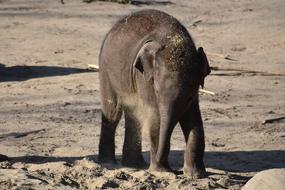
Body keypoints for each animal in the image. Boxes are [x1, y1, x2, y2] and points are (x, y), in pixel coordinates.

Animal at [98, 8, 210, 178]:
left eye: (190, 96)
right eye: (156, 91)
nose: (175, 171)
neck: (174, 39)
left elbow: (193, 120)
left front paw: (195, 175)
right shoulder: (144, 76)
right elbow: (155, 116)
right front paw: (161, 171)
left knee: (134, 115)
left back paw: (134, 164)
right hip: (106, 69)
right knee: (112, 113)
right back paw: (109, 163)